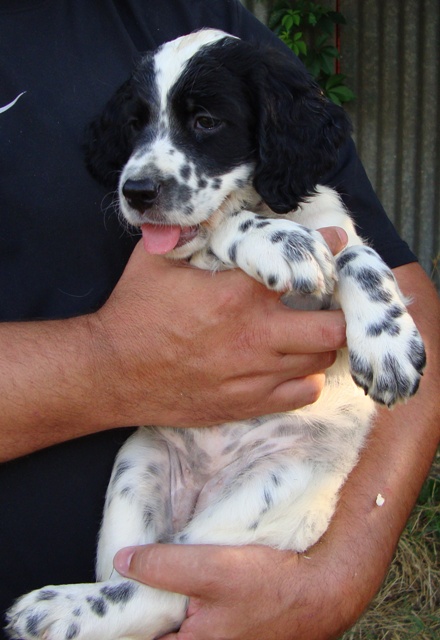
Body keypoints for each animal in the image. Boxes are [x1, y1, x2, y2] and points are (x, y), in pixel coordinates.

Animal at [7, 28, 426, 640]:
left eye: (206, 122)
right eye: (134, 124)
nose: (136, 191)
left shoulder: (333, 235)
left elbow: (358, 254)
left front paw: (390, 346)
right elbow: (223, 227)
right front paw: (281, 242)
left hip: (271, 489)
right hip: (139, 470)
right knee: (154, 584)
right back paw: (57, 610)